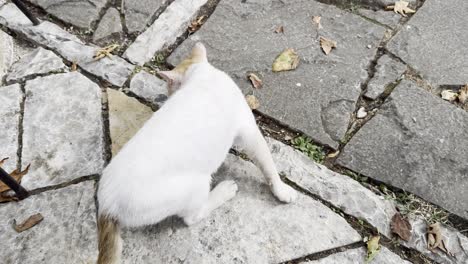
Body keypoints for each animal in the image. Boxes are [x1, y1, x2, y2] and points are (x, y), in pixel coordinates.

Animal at [97, 42, 298, 262]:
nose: (168, 94)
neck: (201, 76)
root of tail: (106, 204)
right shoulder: (250, 133)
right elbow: (268, 165)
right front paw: (281, 190)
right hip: (197, 185)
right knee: (192, 217)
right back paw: (224, 191)